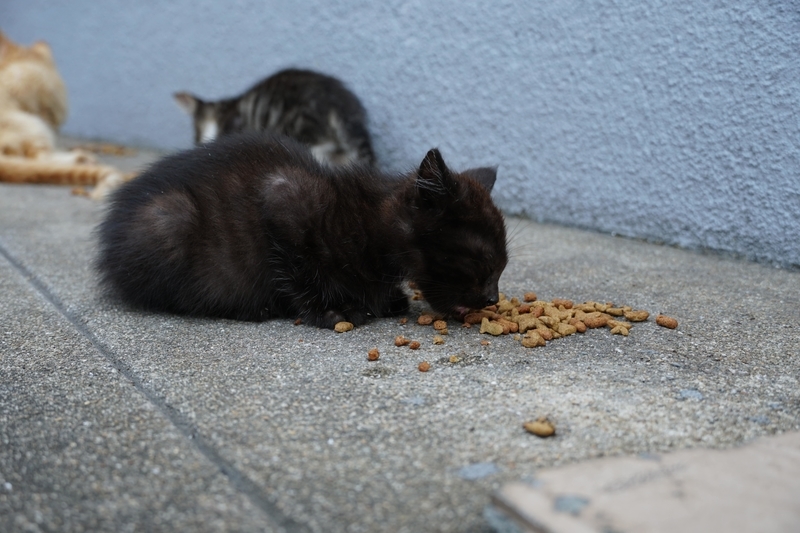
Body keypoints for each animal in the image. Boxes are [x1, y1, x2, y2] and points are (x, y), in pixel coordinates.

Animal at [94, 132, 506, 328]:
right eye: (483, 261)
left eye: (502, 266)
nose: (492, 298)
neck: (370, 223)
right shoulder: (285, 199)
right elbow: (300, 269)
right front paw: (331, 310)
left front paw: (388, 299)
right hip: (169, 218)